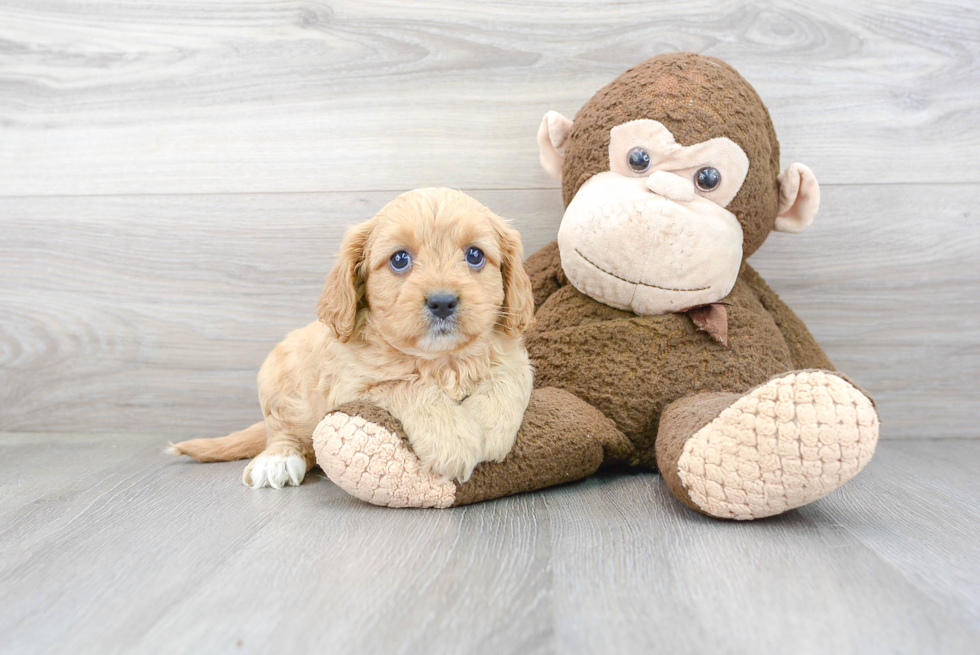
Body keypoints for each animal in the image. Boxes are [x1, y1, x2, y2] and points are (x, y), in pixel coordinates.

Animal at [168, 187, 536, 490]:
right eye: (399, 259)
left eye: (474, 255)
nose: (442, 301)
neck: (441, 360)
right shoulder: (353, 387)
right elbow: (408, 386)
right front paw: (453, 439)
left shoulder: (516, 358)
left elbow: (507, 377)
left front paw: (488, 426)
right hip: (277, 380)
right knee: (284, 433)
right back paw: (278, 460)